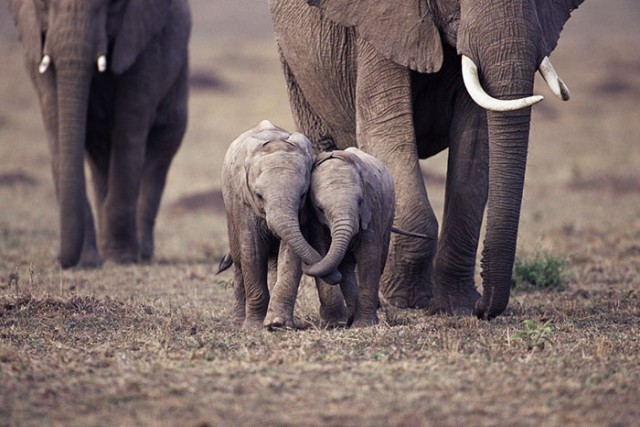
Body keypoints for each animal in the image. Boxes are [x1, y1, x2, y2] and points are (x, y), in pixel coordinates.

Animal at [6, 0, 190, 268]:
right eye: (43, 4)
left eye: (111, 5)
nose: (60, 261)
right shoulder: (36, 46)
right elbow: (57, 131)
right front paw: (87, 261)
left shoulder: (142, 45)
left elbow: (128, 131)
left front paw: (121, 259)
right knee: (100, 154)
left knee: (163, 146)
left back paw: (142, 254)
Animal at [220, 120, 340, 332]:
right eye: (259, 196)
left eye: (303, 194)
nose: (337, 275)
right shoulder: (244, 203)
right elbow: (253, 253)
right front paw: (254, 327)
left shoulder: (302, 212)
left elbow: (290, 255)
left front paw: (277, 324)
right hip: (230, 209)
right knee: (238, 260)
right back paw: (238, 321)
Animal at [302, 147, 398, 328]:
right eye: (320, 209)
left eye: (360, 202)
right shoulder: (314, 220)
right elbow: (321, 252)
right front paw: (338, 323)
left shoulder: (372, 210)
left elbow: (369, 257)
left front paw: (363, 325)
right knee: (345, 266)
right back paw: (351, 317)